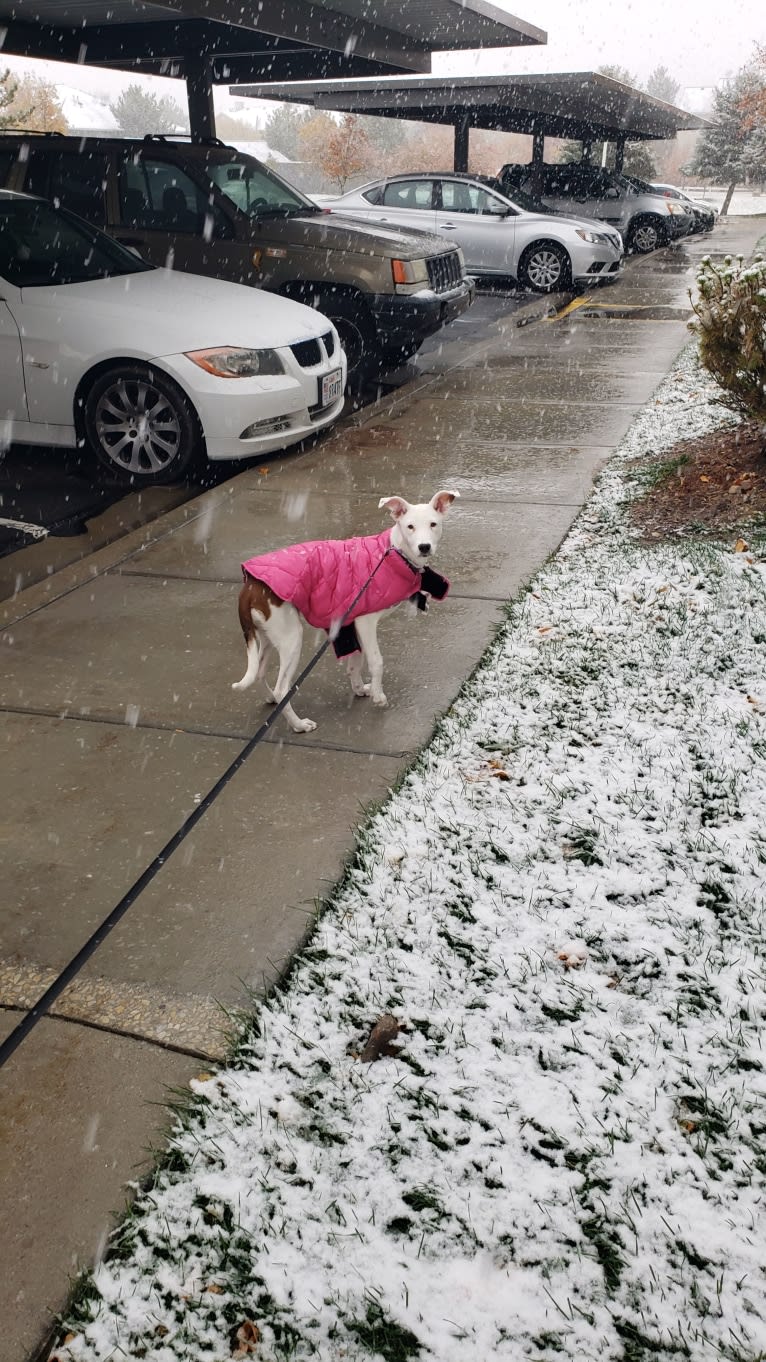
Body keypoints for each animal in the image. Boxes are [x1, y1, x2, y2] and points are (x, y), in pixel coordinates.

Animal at [231, 490, 457, 735]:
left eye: (433, 524)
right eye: (410, 526)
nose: (424, 547)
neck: (392, 553)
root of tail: (250, 585)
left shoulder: (351, 621)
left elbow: (355, 661)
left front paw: (359, 689)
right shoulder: (366, 621)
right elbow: (376, 661)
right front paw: (378, 696)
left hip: (268, 635)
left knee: (260, 672)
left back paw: (272, 699)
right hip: (290, 637)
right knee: (283, 688)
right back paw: (298, 724)